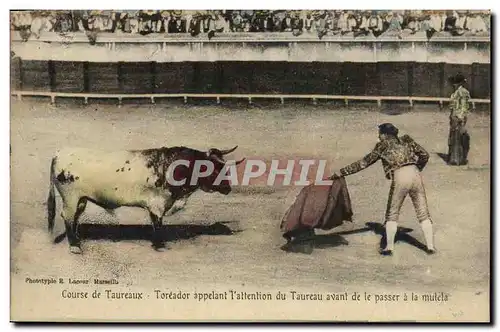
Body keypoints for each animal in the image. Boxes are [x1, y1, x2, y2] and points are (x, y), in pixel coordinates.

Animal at [46, 145, 245, 254]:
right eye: (214, 168)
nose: (228, 188)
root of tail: (59, 153)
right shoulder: (157, 204)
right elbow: (158, 225)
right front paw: (160, 246)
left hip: (81, 199)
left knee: (75, 218)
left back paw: (78, 239)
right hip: (70, 198)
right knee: (68, 217)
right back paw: (75, 247)